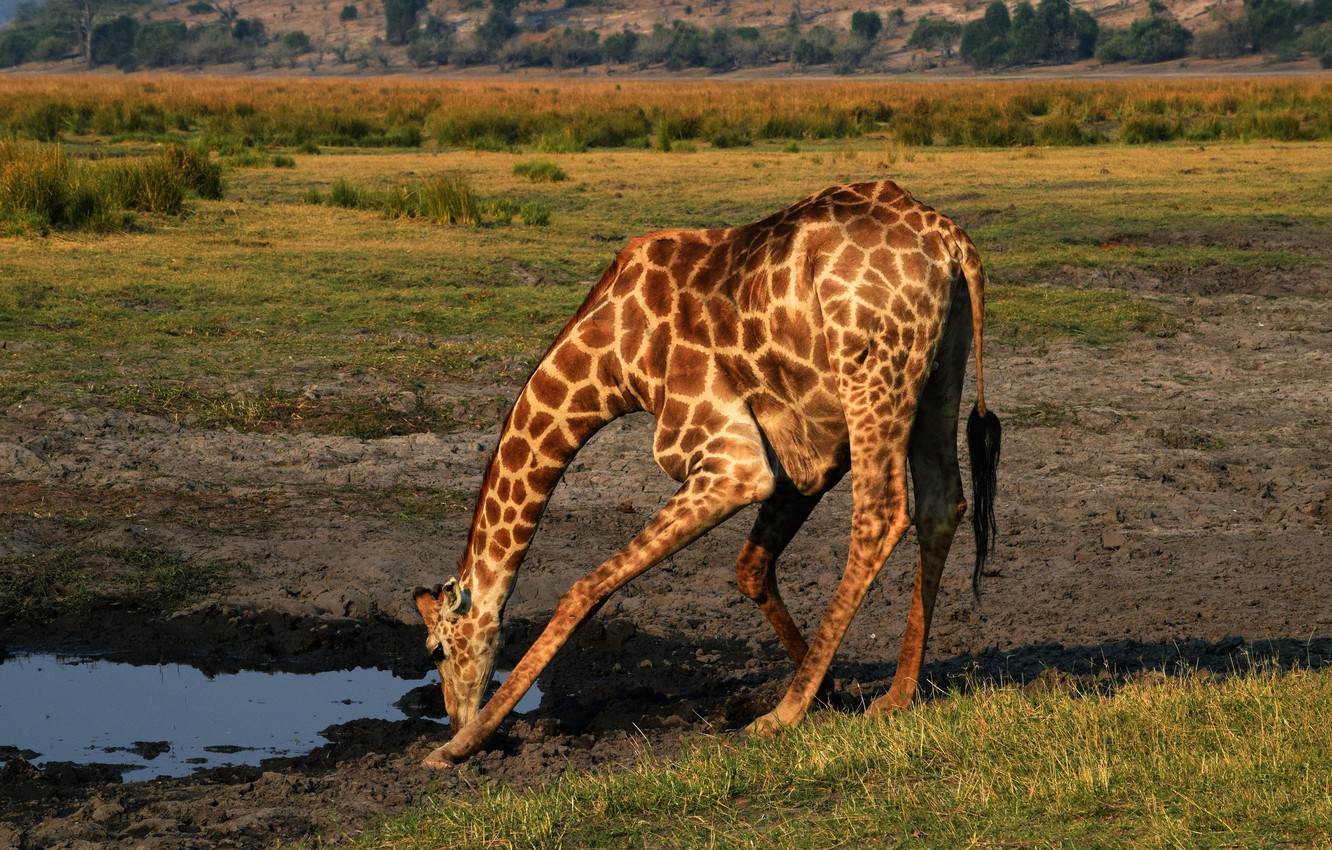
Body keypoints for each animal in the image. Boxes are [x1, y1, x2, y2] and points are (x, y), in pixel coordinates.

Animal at [413, 179, 1001, 766]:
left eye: (436, 650)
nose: (453, 716)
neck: (611, 360)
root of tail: (950, 239)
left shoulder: (733, 461)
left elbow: (584, 589)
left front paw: (461, 745)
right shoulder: (802, 454)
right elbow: (749, 567)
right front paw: (830, 687)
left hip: (872, 374)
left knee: (880, 516)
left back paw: (780, 716)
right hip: (936, 371)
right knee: (942, 503)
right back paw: (896, 697)